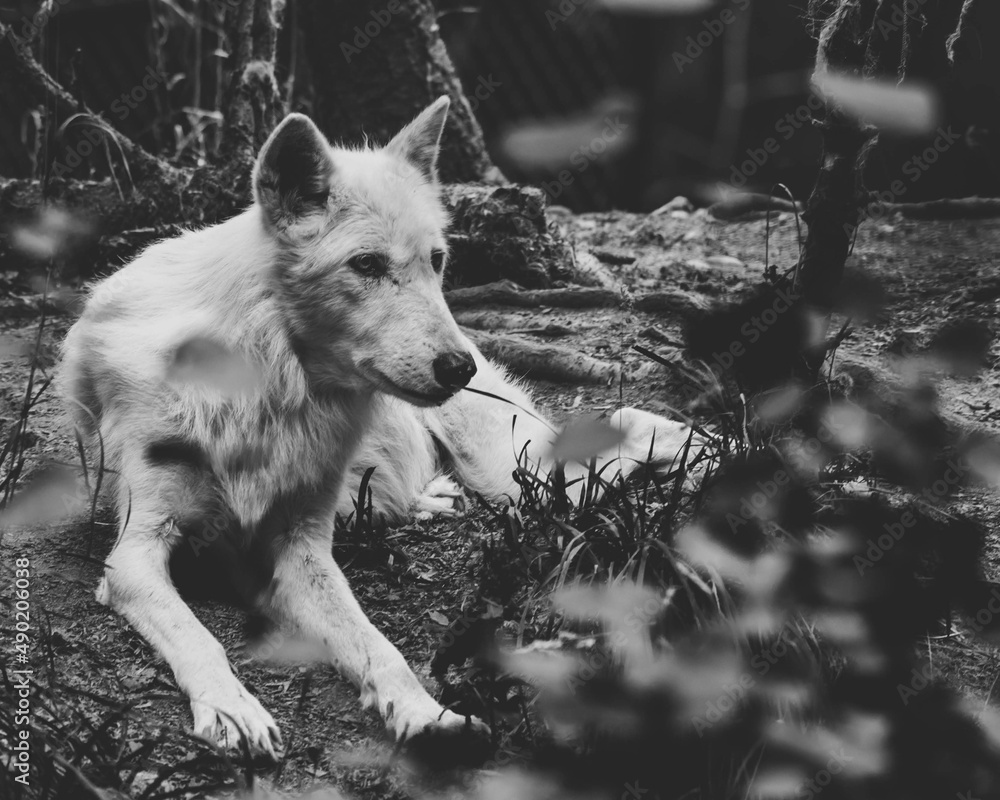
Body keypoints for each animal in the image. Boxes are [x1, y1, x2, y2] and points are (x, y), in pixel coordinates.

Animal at [56, 98, 696, 756]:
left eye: (436, 261)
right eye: (366, 265)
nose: (458, 367)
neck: (269, 387)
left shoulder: (299, 547)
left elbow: (376, 643)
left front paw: (425, 713)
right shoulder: (134, 556)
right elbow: (199, 636)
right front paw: (232, 709)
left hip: (523, 480)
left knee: (622, 426)